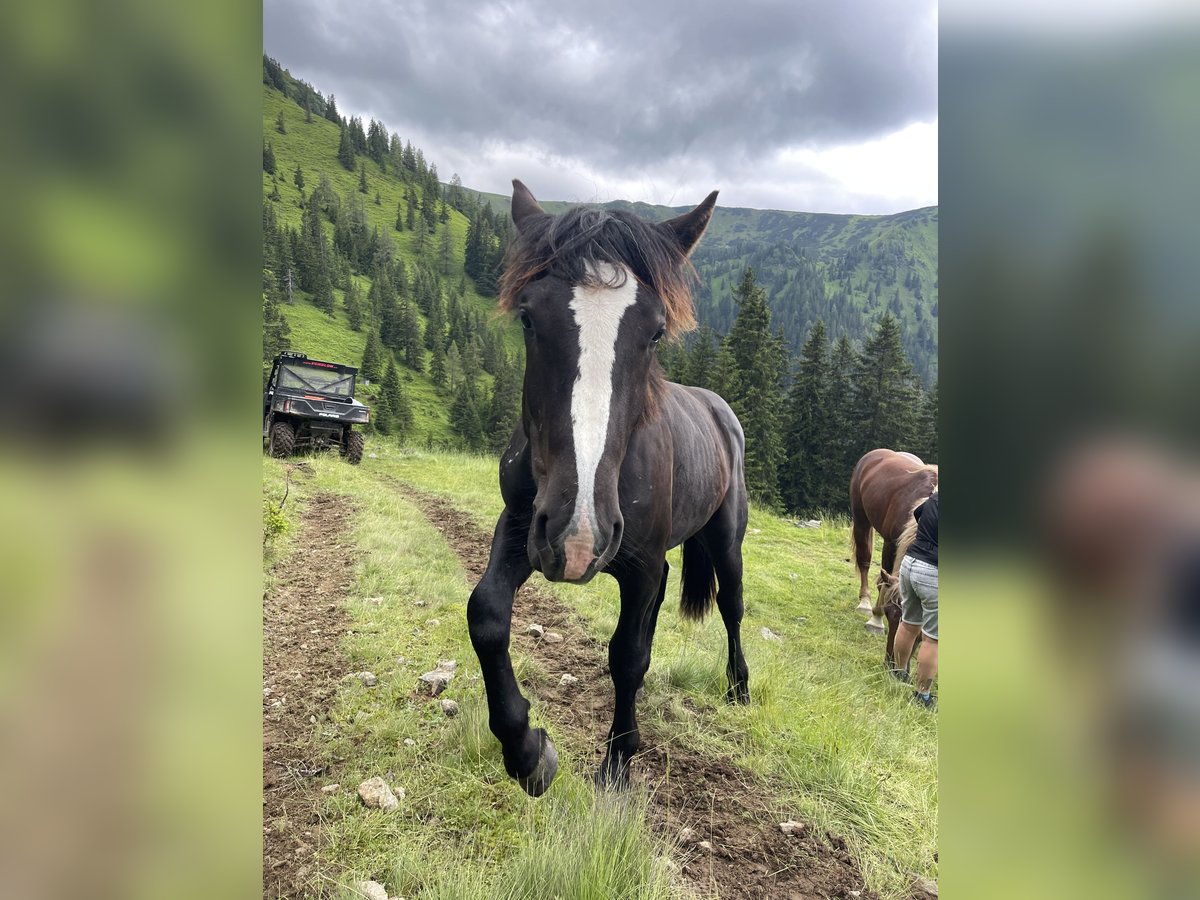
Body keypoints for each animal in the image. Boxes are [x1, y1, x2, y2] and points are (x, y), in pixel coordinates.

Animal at [468, 181, 748, 796]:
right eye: (528, 318)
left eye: (656, 331)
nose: (580, 535)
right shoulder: (525, 528)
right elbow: (488, 615)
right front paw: (527, 751)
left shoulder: (635, 562)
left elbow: (627, 657)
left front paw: (618, 764)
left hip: (725, 539)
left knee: (732, 606)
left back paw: (739, 686)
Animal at [854, 448, 936, 657]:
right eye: (890, 614)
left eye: (920, 630)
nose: (892, 659)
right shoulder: (891, 543)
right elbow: (886, 581)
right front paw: (875, 620)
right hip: (861, 520)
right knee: (864, 560)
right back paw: (865, 602)